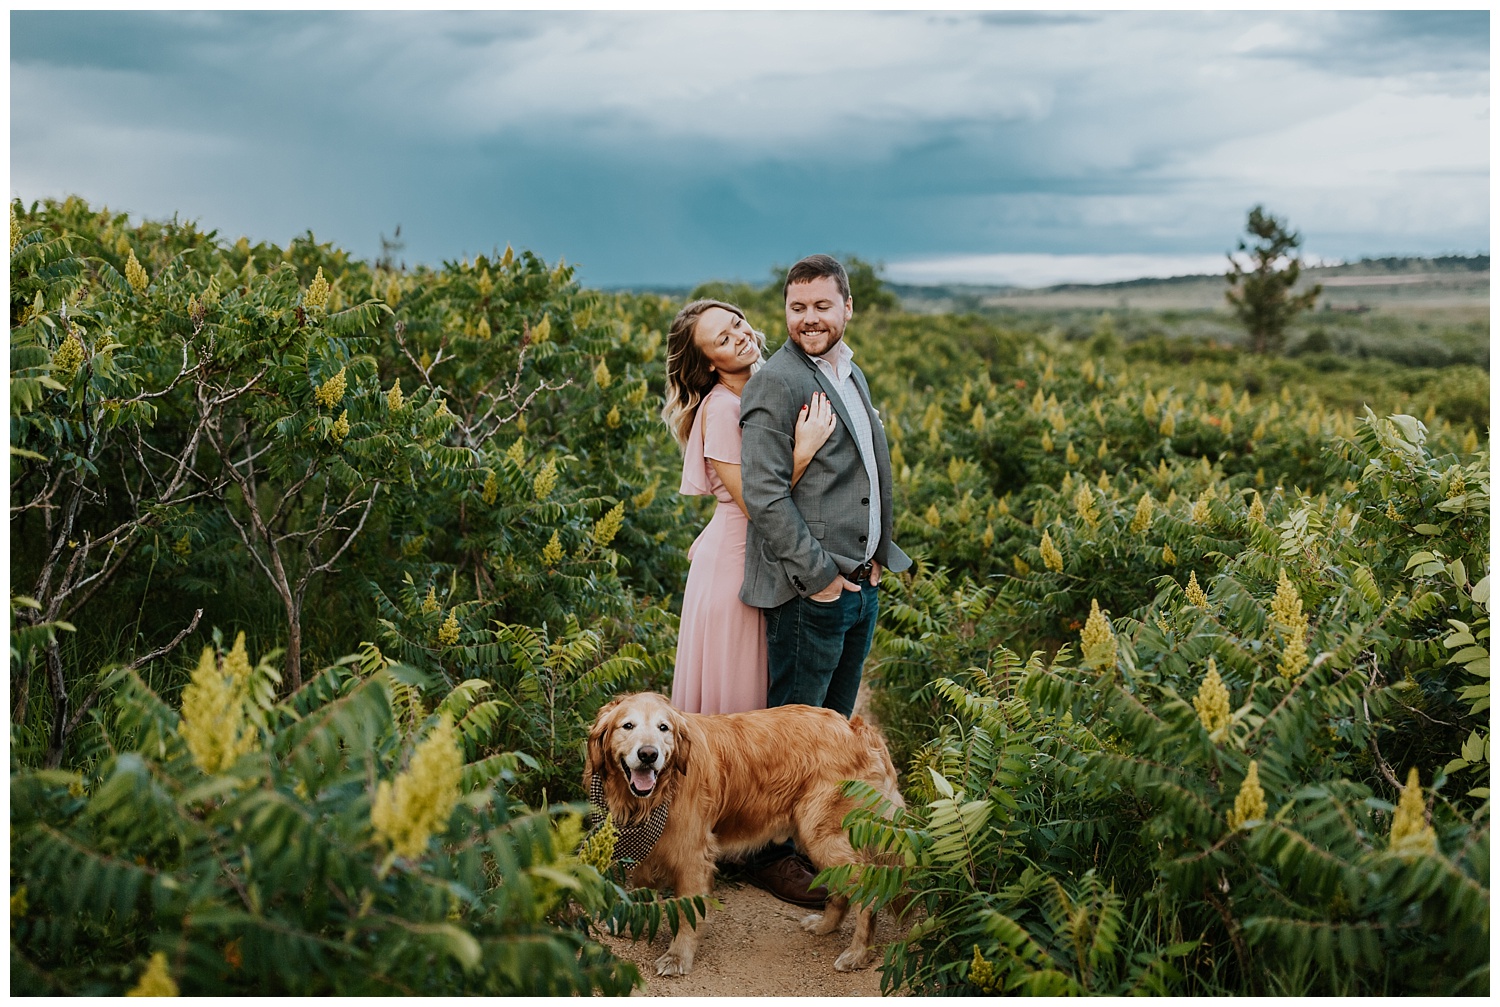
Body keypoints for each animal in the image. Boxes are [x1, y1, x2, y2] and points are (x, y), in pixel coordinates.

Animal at [585, 693, 900, 978]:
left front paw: (677, 957)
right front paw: (631, 924)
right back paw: (825, 926)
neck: (656, 796)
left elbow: (688, 914)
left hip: (823, 835)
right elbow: (638, 892)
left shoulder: (693, 858)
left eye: (664, 728)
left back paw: (858, 953)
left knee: (869, 892)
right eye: (627, 726)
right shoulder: (645, 851)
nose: (648, 755)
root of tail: (858, 729)